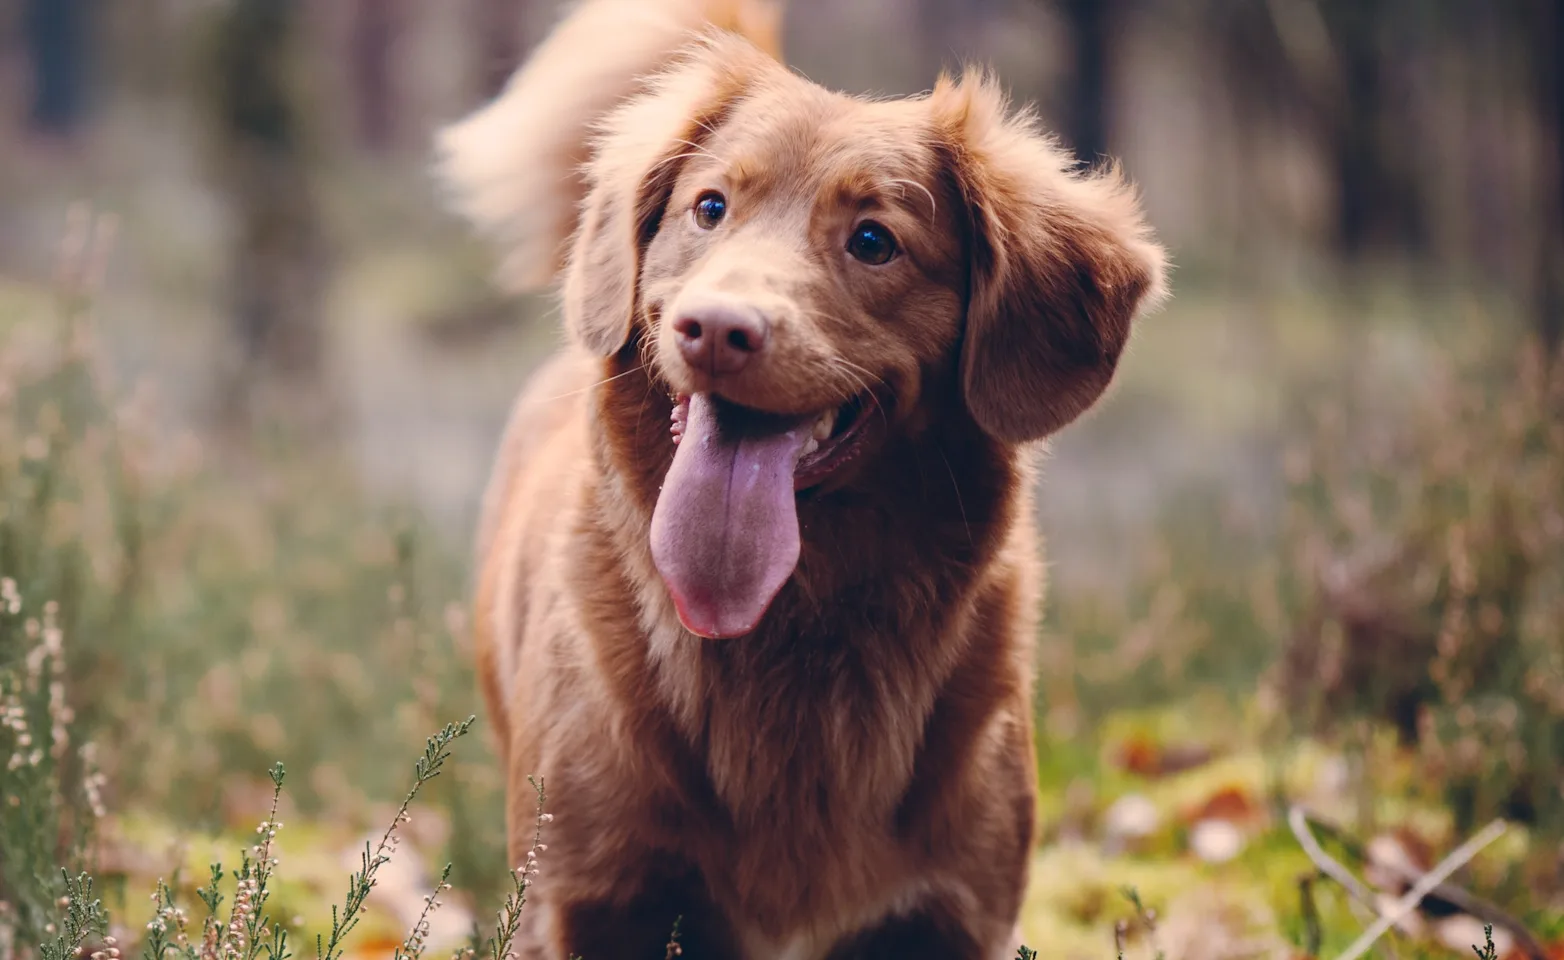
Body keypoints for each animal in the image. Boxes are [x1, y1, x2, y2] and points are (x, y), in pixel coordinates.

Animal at [437, 1, 1163, 956]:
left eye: (873, 241)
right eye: (709, 208)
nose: (716, 329)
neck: (793, 628)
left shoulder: (951, 913)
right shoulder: (586, 901)